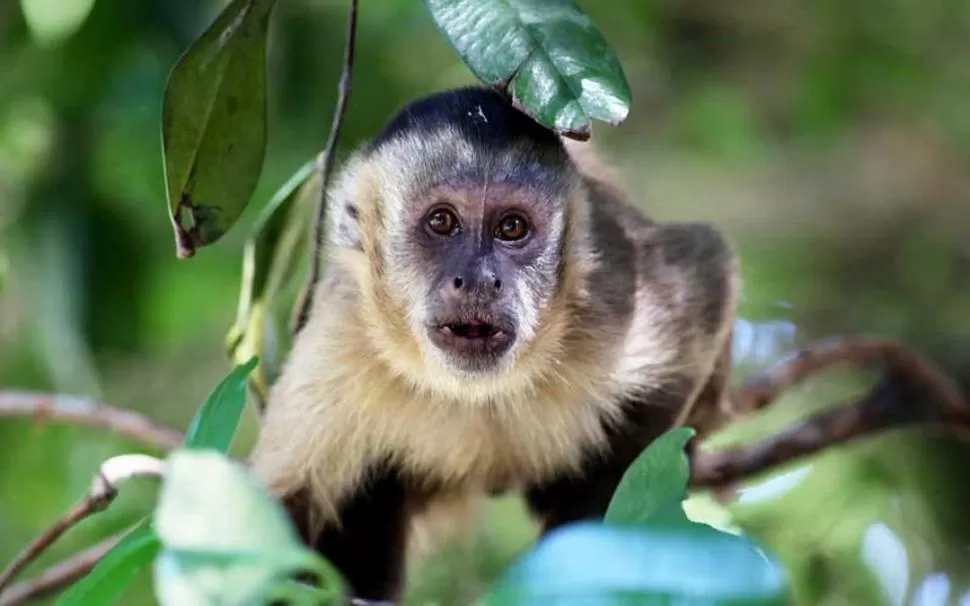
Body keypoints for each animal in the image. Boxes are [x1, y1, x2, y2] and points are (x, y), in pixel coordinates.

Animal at [246, 88, 736, 604]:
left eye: (512, 228)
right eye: (442, 222)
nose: (480, 279)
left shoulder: (610, 297)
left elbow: (706, 270)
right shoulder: (342, 337)